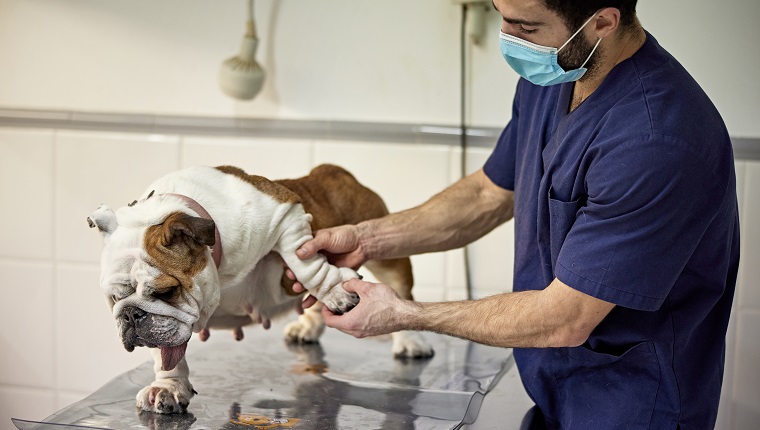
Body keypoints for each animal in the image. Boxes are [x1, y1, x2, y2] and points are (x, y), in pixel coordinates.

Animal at [87, 164, 434, 414]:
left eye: (165, 292)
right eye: (115, 298)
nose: (131, 316)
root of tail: (335, 172)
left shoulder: (286, 214)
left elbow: (304, 263)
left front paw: (334, 291)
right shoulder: (165, 331)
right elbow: (166, 355)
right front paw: (169, 387)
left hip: (386, 250)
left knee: (400, 289)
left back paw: (411, 342)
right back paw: (307, 328)